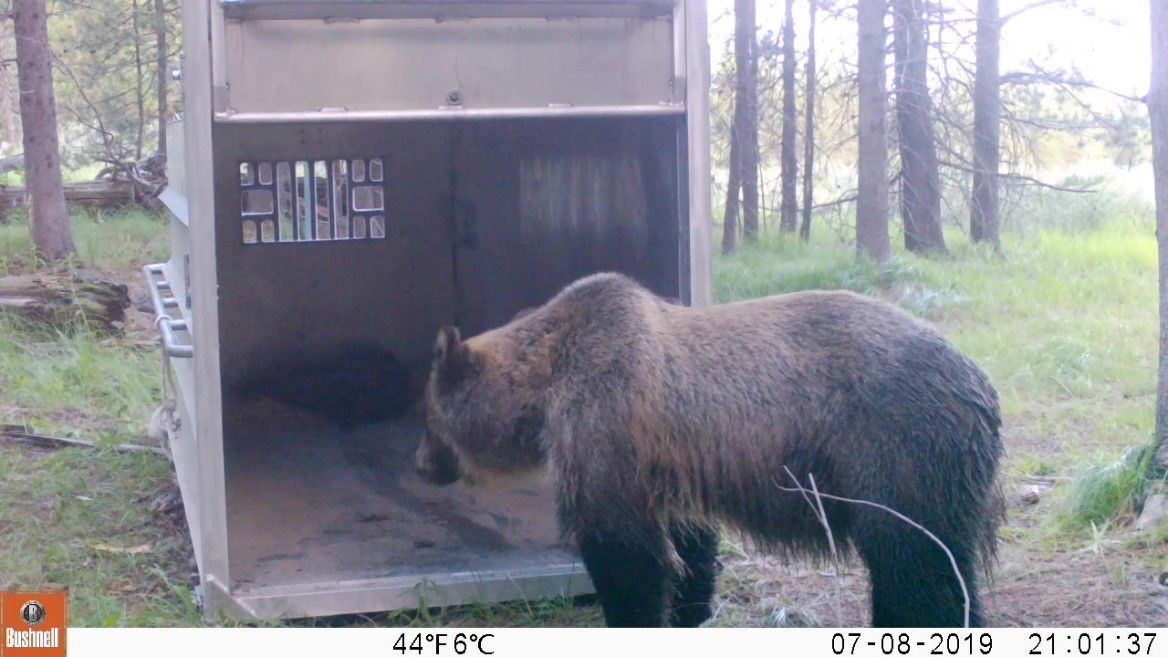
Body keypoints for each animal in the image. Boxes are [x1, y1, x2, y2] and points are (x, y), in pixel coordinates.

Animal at [413, 270, 1004, 621]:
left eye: (426, 416)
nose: (419, 464)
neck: (546, 383)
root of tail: (982, 383)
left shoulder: (606, 425)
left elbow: (623, 551)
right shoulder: (671, 458)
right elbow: (687, 543)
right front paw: (689, 606)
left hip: (896, 450)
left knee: (915, 565)